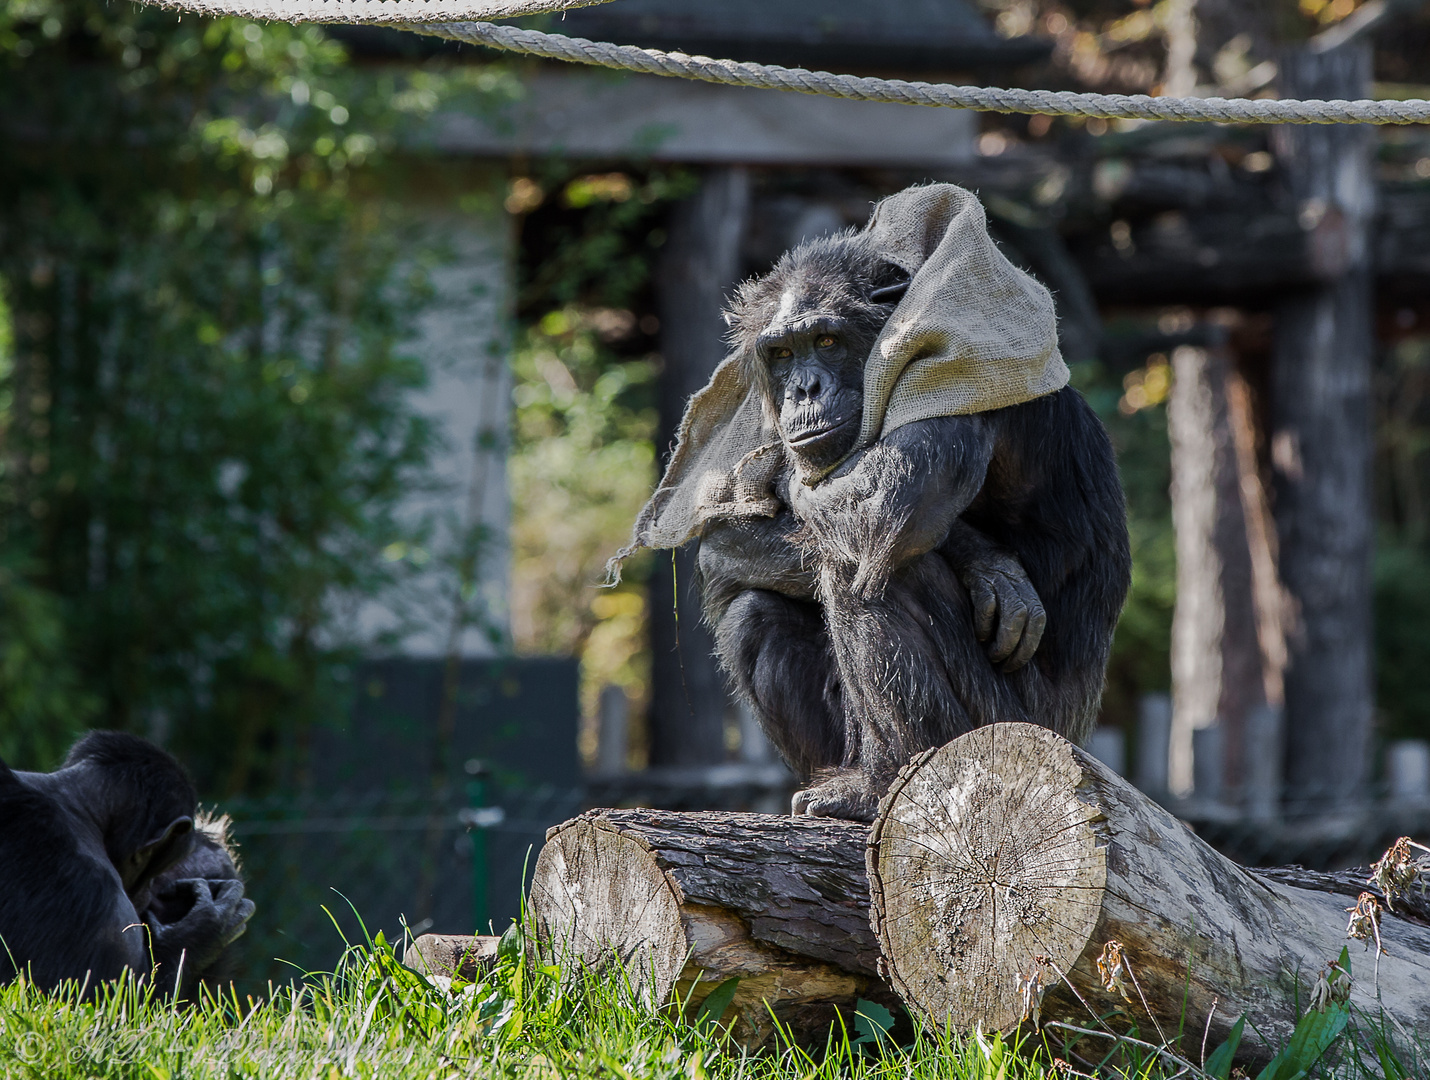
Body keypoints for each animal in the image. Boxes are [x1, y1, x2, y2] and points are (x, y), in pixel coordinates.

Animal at [626, 183, 1126, 818]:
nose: (803, 388)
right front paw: (985, 561)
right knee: (753, 612)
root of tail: (1080, 742)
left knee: (876, 568)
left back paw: (882, 783)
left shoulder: (950, 364)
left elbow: (881, 507)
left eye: (826, 341)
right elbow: (733, 539)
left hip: (1006, 731)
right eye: (782, 353)